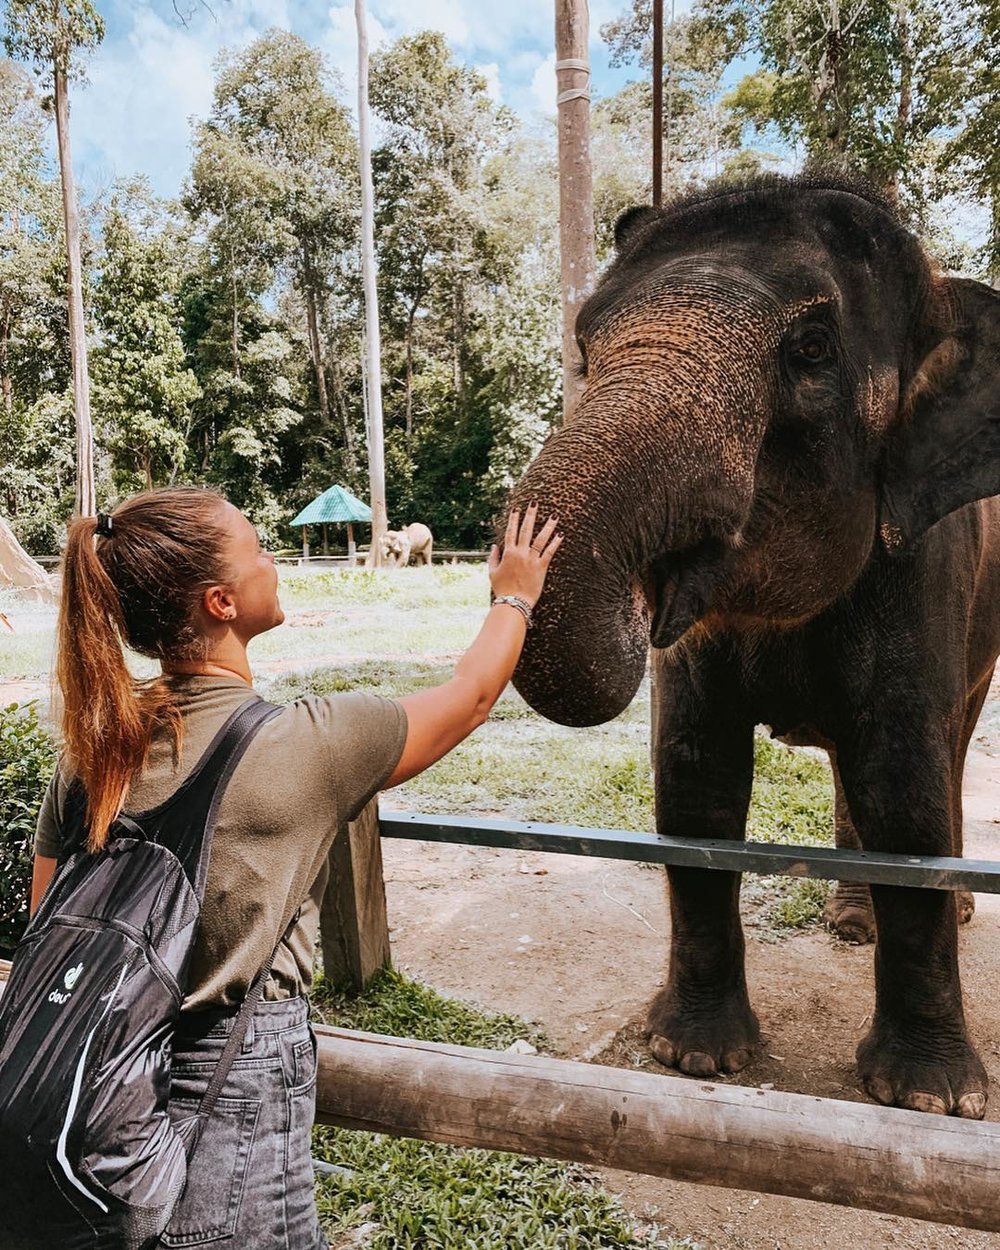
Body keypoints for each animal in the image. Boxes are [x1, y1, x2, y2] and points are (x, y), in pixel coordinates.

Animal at [507, 171, 1000, 1120]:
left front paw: (928, 1098)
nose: (640, 600)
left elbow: (904, 791)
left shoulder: (923, 563)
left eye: (811, 349)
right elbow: (694, 782)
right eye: (584, 348)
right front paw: (694, 1056)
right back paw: (853, 922)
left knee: (945, 751)